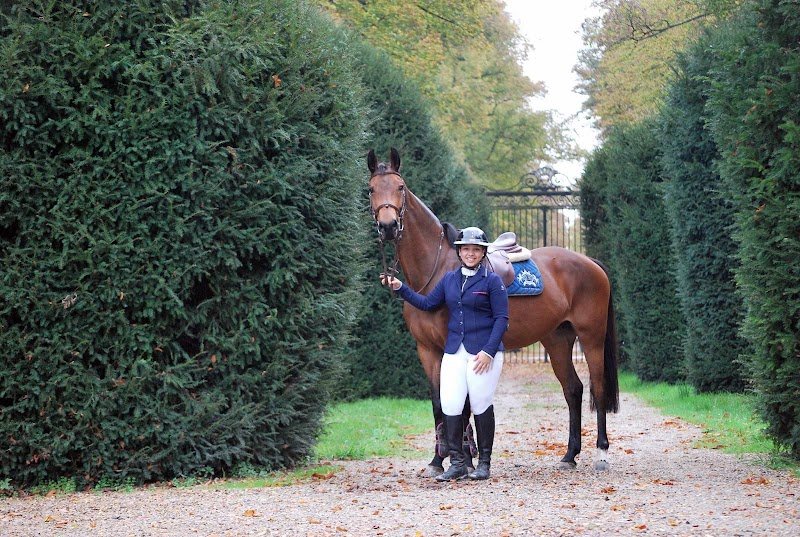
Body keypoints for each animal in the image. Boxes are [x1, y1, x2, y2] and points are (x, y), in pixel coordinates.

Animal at [367, 148, 620, 476]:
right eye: (371, 189)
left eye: (400, 187)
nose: (387, 226)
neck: (436, 273)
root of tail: (589, 262)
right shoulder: (427, 350)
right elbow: (439, 403)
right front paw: (438, 461)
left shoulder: (454, 348)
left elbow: (461, 405)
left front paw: (464, 459)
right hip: (557, 340)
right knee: (573, 389)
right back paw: (569, 455)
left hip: (591, 337)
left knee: (597, 388)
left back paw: (601, 453)